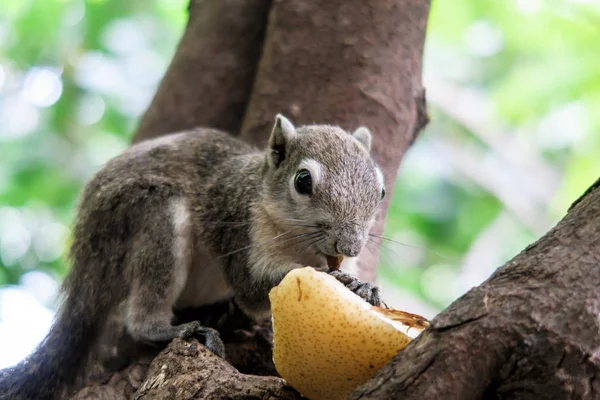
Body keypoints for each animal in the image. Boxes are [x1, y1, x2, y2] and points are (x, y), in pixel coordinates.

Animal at [0, 114, 384, 398]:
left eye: (380, 191)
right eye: (303, 181)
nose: (350, 246)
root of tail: (86, 253)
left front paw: (363, 287)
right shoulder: (238, 231)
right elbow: (252, 290)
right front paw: (337, 279)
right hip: (151, 216)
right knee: (140, 316)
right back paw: (176, 329)